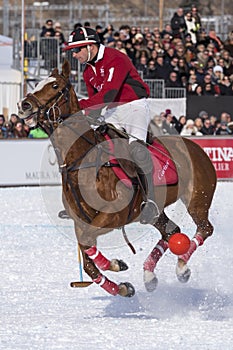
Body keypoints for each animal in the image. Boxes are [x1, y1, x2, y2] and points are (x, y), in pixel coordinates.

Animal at [17, 61, 217, 296]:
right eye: (38, 83)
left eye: (55, 86)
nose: (24, 105)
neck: (82, 160)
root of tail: (197, 147)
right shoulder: (80, 221)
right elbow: (87, 258)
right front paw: (121, 286)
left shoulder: (113, 215)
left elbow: (88, 244)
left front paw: (114, 265)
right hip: (154, 212)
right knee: (172, 232)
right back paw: (149, 275)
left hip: (198, 199)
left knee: (204, 228)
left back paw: (182, 267)